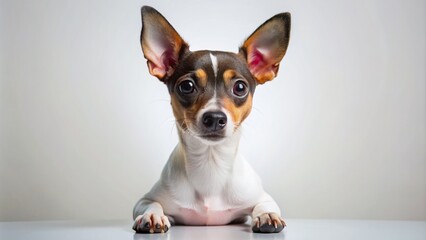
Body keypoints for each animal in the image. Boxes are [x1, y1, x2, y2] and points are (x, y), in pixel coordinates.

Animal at [133, 6, 292, 234]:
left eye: (240, 87)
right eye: (187, 86)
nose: (215, 118)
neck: (211, 162)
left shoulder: (263, 197)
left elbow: (265, 205)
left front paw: (267, 215)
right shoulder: (144, 200)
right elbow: (152, 203)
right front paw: (153, 215)